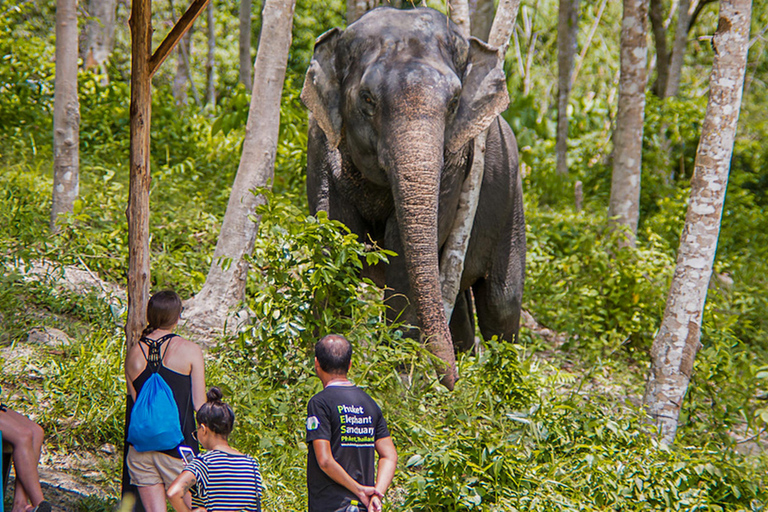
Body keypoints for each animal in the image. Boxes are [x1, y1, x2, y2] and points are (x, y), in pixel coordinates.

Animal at [304, 6, 524, 388]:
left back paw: (497, 385)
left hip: (512, 202)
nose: (448, 383)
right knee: (460, 305)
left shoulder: (455, 163)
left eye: (454, 103)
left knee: (501, 301)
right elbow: (332, 241)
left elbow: (403, 253)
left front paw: (396, 378)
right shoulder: (319, 142)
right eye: (367, 98)